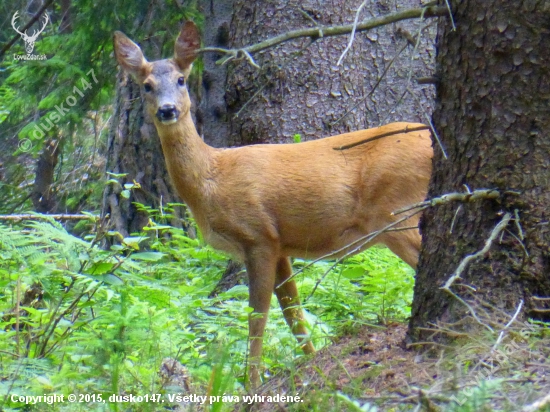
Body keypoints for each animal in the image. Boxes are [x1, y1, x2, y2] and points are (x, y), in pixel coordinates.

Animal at [115, 20, 436, 388]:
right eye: (146, 86)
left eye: (182, 79)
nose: (167, 110)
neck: (212, 178)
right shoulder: (281, 246)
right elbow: (293, 314)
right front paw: (310, 361)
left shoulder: (259, 237)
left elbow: (257, 317)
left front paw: (250, 382)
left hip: (397, 212)